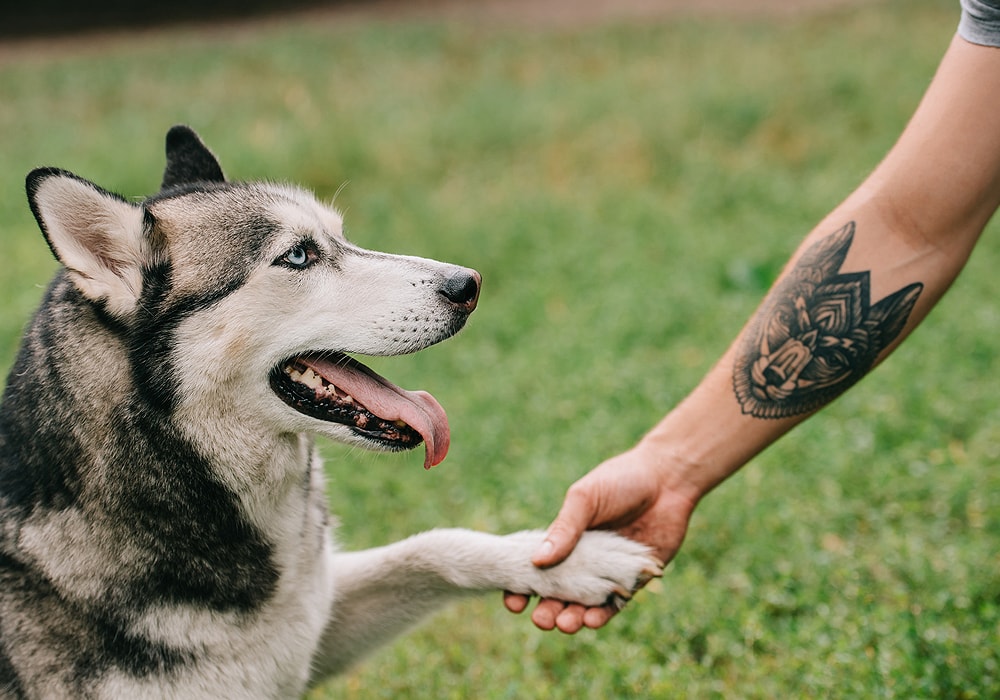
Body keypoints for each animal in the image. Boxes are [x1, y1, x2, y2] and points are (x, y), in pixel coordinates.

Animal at [0, 129, 660, 696]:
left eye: (341, 237)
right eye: (297, 256)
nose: (468, 284)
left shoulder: (307, 628)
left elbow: (430, 546)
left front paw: (567, 558)